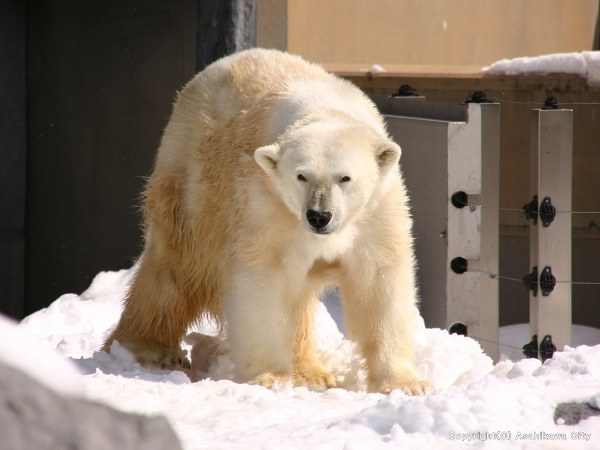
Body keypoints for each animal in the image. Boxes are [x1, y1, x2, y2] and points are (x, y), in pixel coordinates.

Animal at [104, 47, 432, 396]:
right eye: (301, 176)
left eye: (345, 177)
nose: (319, 216)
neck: (326, 109)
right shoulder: (265, 199)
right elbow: (262, 279)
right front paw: (271, 377)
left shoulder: (376, 210)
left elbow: (379, 283)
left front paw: (406, 384)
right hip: (191, 185)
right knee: (174, 268)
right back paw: (151, 350)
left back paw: (312, 373)